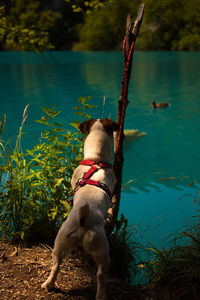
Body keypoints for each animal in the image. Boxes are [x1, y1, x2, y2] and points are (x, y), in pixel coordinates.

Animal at [41, 118, 119, 298]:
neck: (96, 159)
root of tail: (84, 219)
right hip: (101, 249)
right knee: (100, 274)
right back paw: (101, 295)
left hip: (60, 243)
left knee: (56, 265)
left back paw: (49, 285)